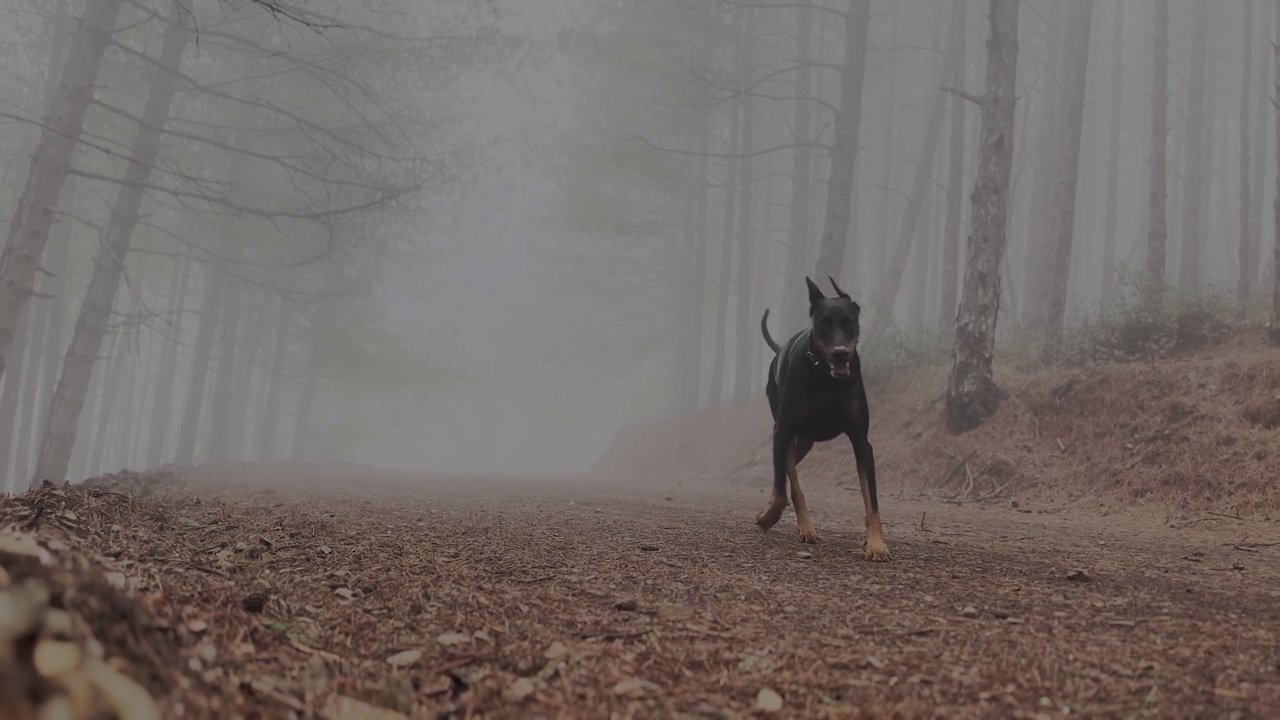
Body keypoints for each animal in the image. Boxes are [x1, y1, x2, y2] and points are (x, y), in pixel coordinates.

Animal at [757, 274, 890, 561]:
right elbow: (784, 490)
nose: (841, 352)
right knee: (789, 478)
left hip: (805, 442)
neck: (827, 379)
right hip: (787, 432)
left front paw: (876, 544)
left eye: (849, 321)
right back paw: (803, 526)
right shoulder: (782, 430)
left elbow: (871, 502)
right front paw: (768, 517)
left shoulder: (861, 441)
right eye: (823, 324)